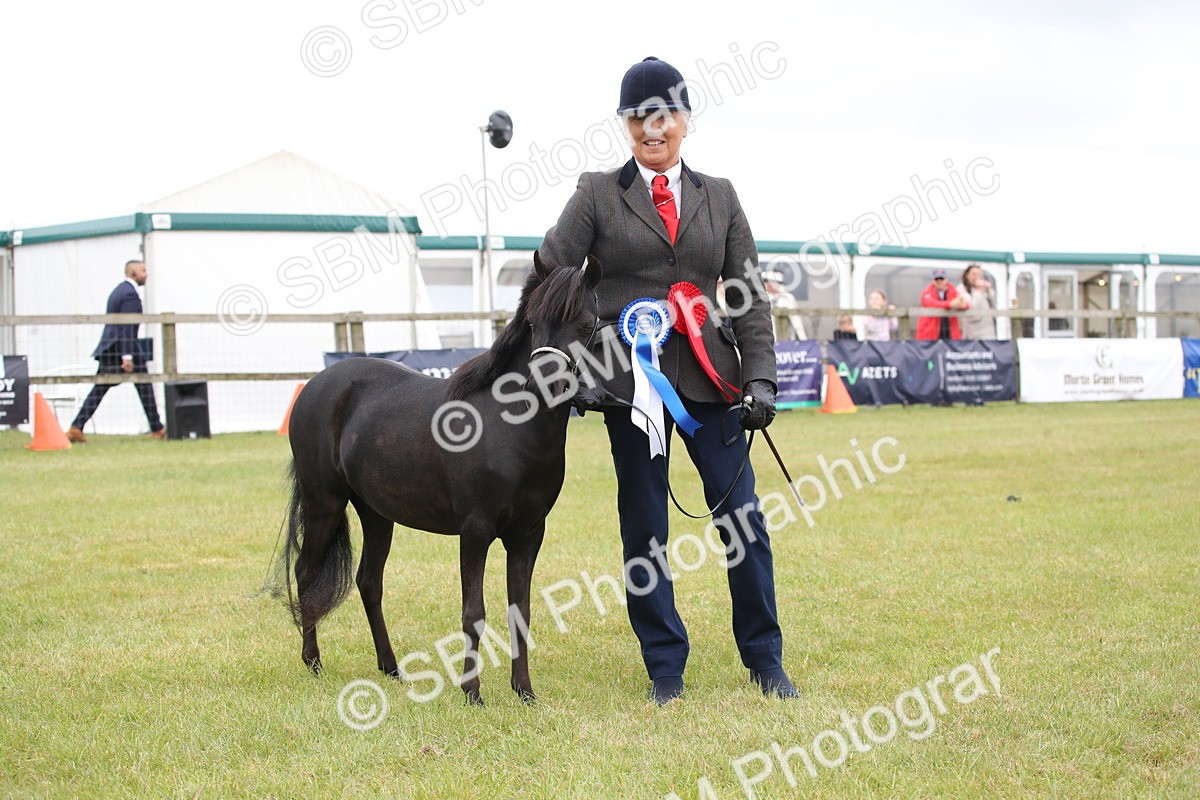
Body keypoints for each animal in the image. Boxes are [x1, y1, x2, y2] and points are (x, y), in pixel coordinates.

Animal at [276, 252, 601, 705]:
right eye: (533, 322)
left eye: (586, 325)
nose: (543, 385)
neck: (510, 429)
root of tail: (316, 384)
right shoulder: (476, 531)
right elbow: (473, 612)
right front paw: (472, 693)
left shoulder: (528, 534)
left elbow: (520, 610)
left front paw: (524, 691)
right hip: (323, 502)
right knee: (307, 573)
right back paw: (313, 662)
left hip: (376, 514)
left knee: (368, 582)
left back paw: (391, 667)